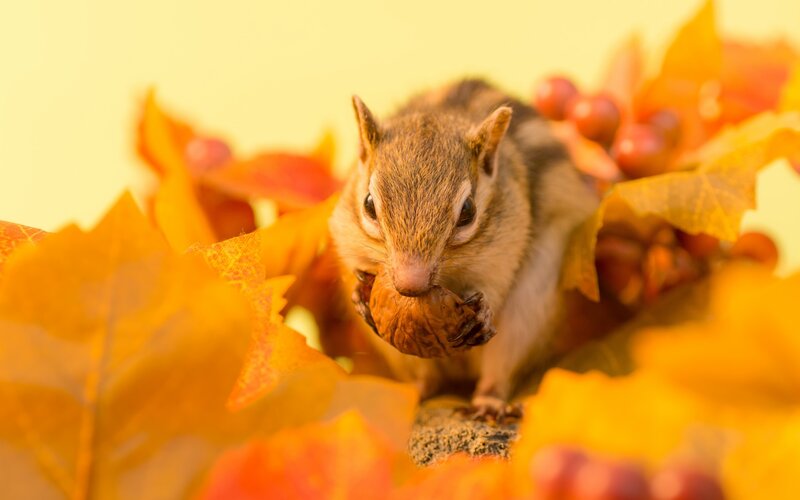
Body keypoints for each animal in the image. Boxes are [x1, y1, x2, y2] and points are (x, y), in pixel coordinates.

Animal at [329, 79, 598, 417]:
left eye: (468, 211)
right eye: (368, 205)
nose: (409, 284)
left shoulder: (503, 253)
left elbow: (494, 288)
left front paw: (483, 312)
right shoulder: (347, 237)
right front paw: (358, 295)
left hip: (527, 316)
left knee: (498, 373)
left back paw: (488, 402)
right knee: (428, 379)